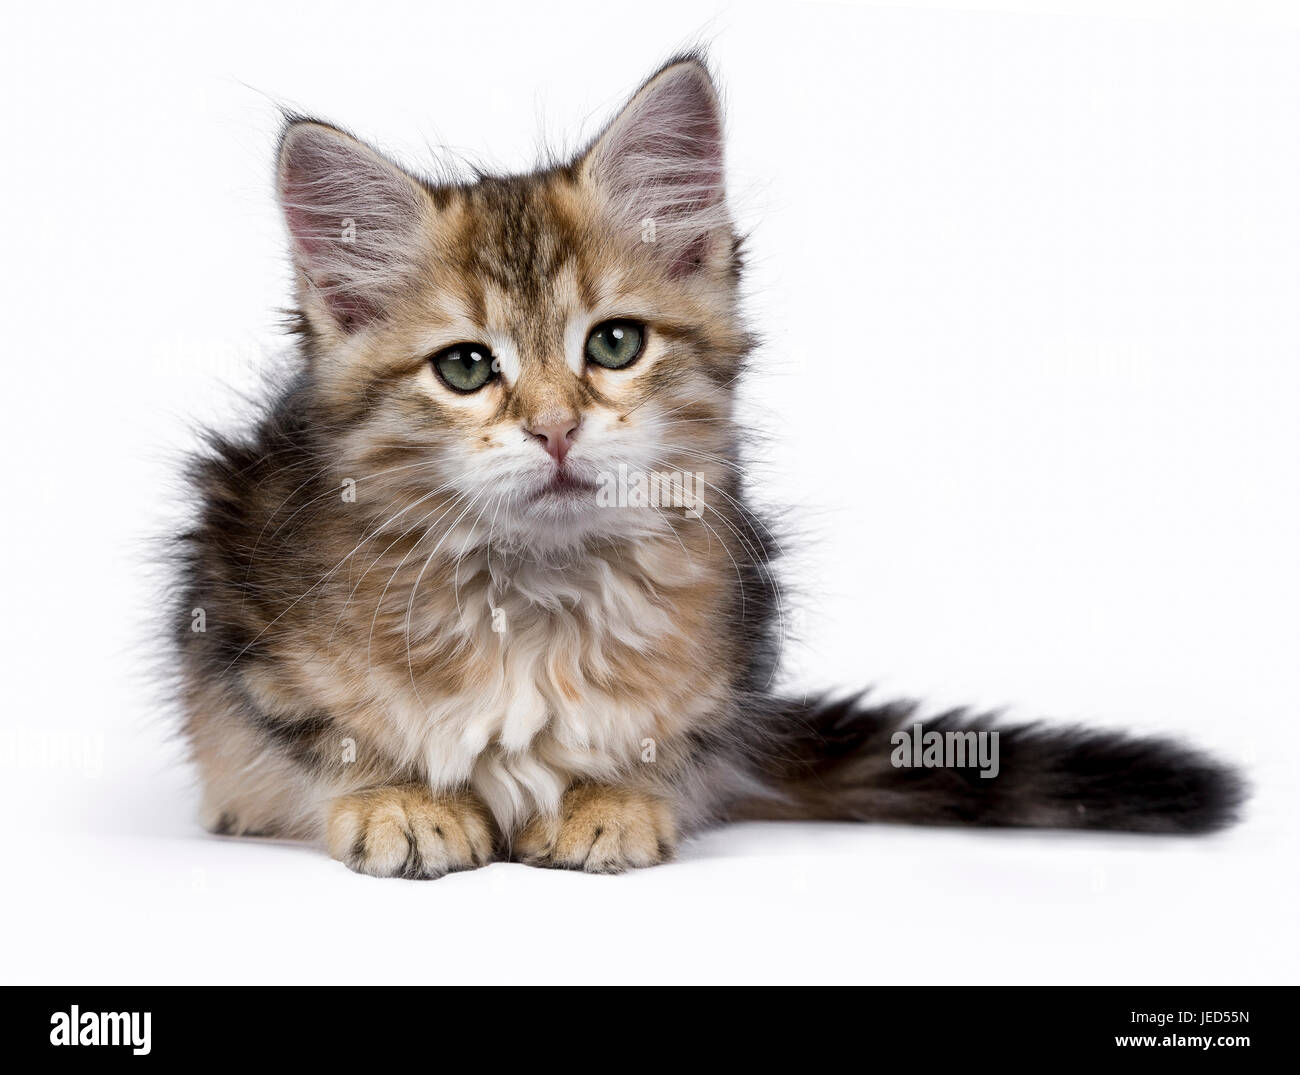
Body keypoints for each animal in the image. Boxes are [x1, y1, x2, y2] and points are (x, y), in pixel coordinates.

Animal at [172, 54, 1237, 878]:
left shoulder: (732, 646)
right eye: (466, 367)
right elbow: (320, 738)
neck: (537, 593)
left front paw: (612, 798)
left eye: (614, 344)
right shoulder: (239, 605)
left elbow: (668, 749)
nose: (555, 429)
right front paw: (396, 799)